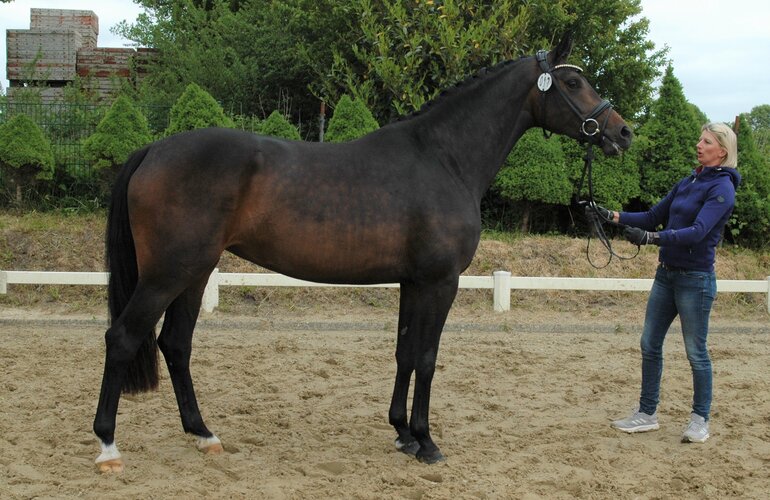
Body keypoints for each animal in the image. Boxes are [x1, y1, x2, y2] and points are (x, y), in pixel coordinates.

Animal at [93, 33, 632, 472]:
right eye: (573, 81)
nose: (622, 132)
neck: (443, 158)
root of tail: (152, 150)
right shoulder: (441, 282)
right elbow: (428, 357)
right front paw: (427, 442)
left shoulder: (413, 281)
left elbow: (404, 352)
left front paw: (402, 434)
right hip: (168, 273)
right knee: (123, 338)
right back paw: (108, 447)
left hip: (196, 271)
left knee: (176, 344)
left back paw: (204, 435)